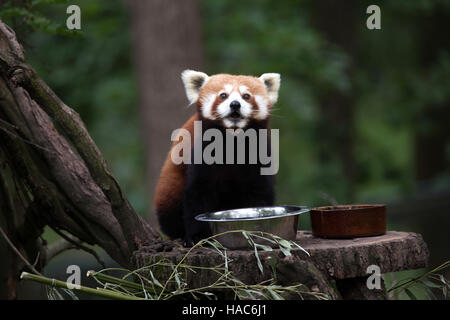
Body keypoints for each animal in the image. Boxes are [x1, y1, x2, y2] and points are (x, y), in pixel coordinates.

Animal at [155, 69, 282, 245]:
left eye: (246, 96)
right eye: (223, 95)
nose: (235, 104)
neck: (232, 140)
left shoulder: (258, 154)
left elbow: (259, 192)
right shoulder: (202, 153)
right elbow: (198, 194)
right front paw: (197, 237)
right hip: (171, 183)